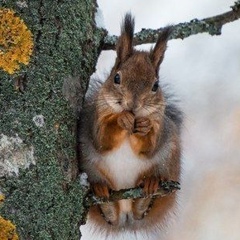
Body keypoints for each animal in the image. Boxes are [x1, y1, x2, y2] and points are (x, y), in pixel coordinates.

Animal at [79, 13, 182, 240]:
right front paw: (121, 119)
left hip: (168, 162)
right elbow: (103, 140)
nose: (133, 104)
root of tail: (125, 219)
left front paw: (144, 126)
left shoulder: (160, 127)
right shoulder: (95, 120)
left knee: (142, 210)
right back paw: (101, 192)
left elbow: (149, 147)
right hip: (90, 166)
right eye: (116, 77)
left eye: (155, 85)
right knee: (109, 212)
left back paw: (149, 189)